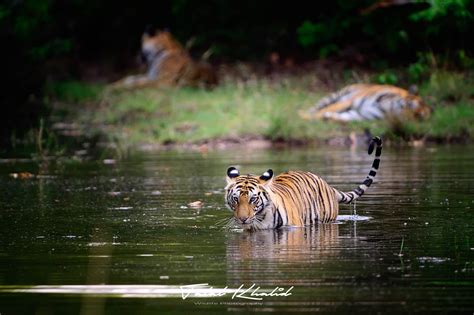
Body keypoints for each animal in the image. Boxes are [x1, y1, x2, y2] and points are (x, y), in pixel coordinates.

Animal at [302, 84, 432, 122]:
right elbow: (325, 110)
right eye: (410, 106)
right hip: (335, 96)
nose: (405, 117)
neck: (388, 108)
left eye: (418, 117)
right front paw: (307, 117)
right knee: (317, 107)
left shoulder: (361, 115)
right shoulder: (350, 101)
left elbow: (345, 117)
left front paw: (327, 117)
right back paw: (302, 113)